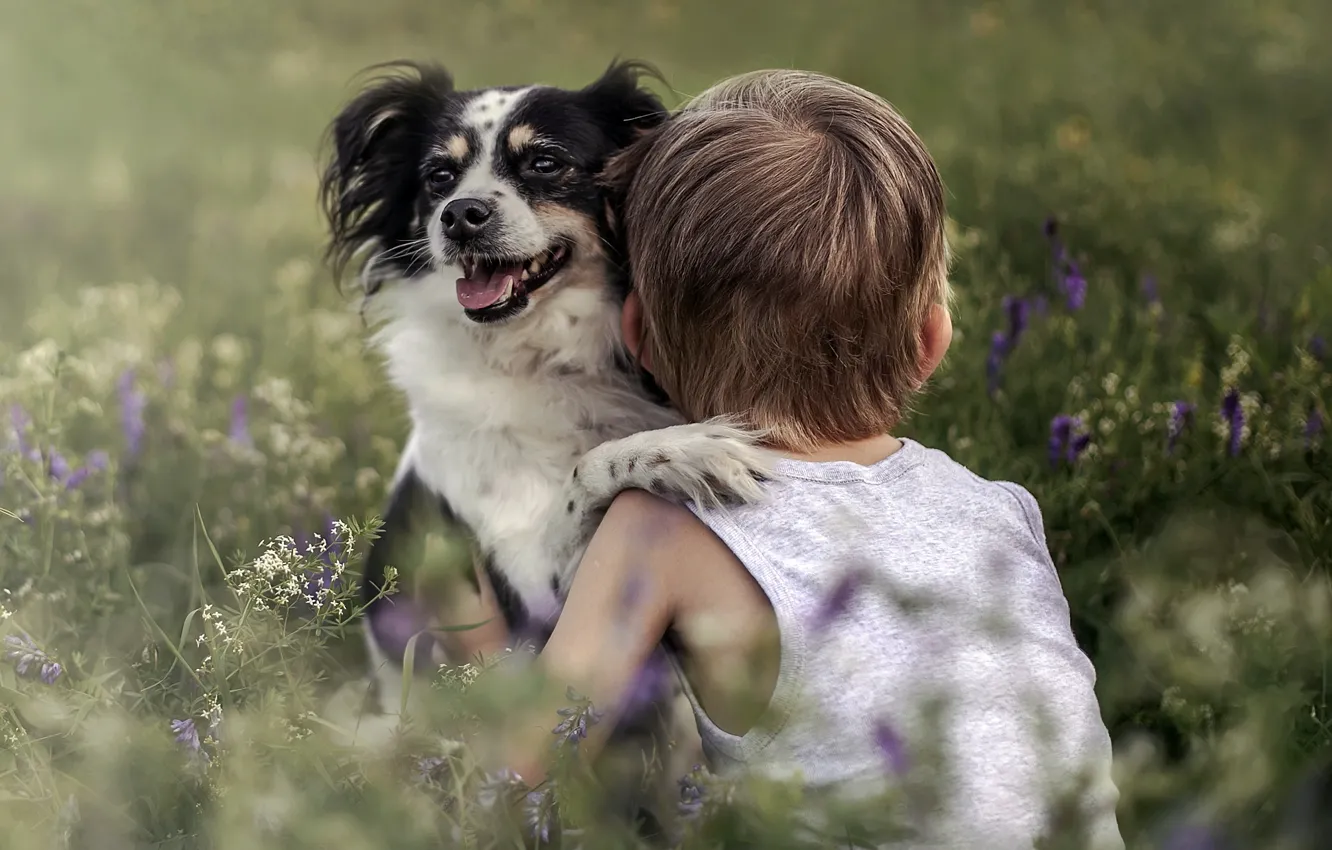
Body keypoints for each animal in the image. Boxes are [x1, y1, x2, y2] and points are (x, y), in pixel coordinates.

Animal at [322, 61, 777, 831]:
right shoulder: (538, 603)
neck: (542, 356)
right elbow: (592, 472)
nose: (460, 215)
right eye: (438, 176)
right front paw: (686, 451)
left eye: (544, 163)